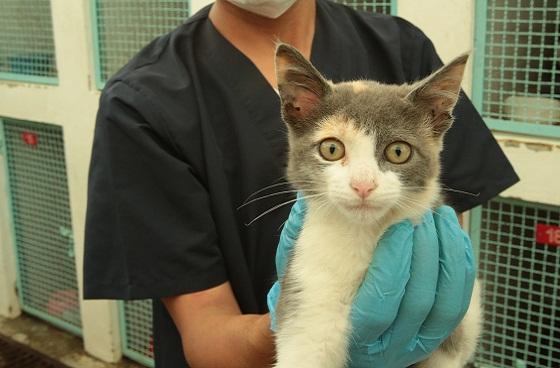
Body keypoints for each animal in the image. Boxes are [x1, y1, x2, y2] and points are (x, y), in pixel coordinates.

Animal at [272, 45, 482, 368]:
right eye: (331, 148)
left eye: (398, 151)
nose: (363, 185)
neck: (362, 236)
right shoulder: (304, 291)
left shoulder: (452, 333)